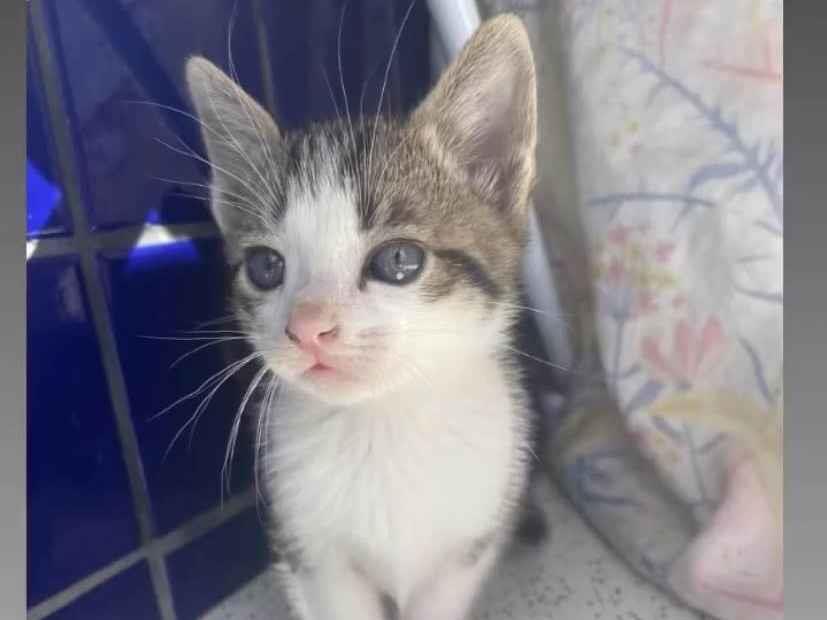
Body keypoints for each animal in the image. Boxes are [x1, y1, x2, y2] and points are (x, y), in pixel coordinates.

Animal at [186, 14, 539, 620]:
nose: (307, 327)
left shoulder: (466, 548)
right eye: (264, 267)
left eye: (398, 260)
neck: (381, 423)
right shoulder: (309, 552)